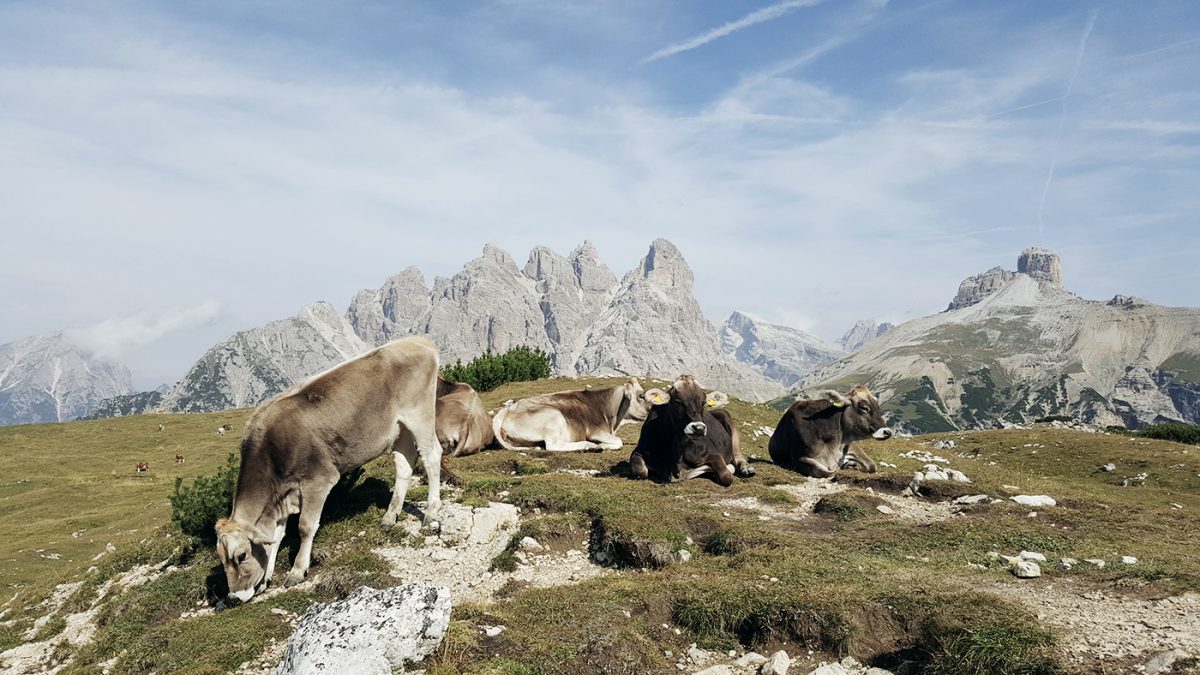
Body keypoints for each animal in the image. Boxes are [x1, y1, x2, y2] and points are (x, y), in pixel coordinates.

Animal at [214, 333, 441, 600]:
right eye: (222, 560)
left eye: (241, 556)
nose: (234, 597)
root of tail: (418, 340)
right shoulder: (281, 498)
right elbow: (276, 537)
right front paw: (266, 579)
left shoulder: (318, 480)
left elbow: (305, 527)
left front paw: (297, 570)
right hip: (400, 429)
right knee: (404, 465)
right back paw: (390, 516)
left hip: (420, 416)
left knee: (432, 456)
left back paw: (431, 513)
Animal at [494, 374, 672, 449]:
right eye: (641, 396)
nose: (656, 409)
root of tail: (507, 410)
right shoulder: (595, 431)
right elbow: (618, 441)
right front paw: (602, 445)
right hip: (554, 416)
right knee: (552, 446)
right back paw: (590, 446)